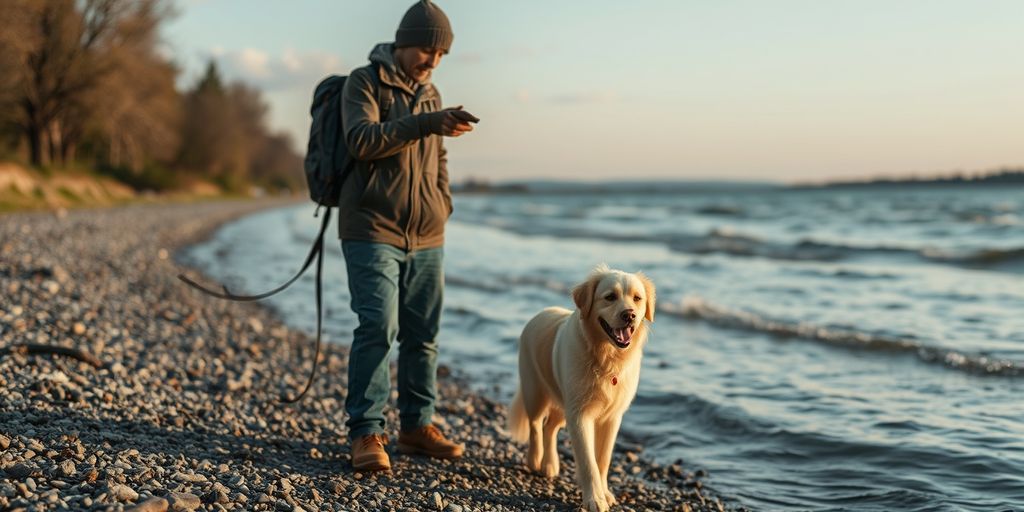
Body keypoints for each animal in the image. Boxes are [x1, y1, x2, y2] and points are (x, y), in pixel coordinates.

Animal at [505, 266, 655, 509]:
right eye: (610, 297)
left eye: (637, 298)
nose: (629, 315)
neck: (606, 357)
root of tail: (541, 312)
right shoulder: (579, 415)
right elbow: (587, 461)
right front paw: (594, 499)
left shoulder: (612, 417)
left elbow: (602, 459)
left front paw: (605, 493)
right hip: (535, 392)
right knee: (536, 425)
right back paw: (535, 460)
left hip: (562, 403)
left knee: (549, 428)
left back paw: (550, 464)